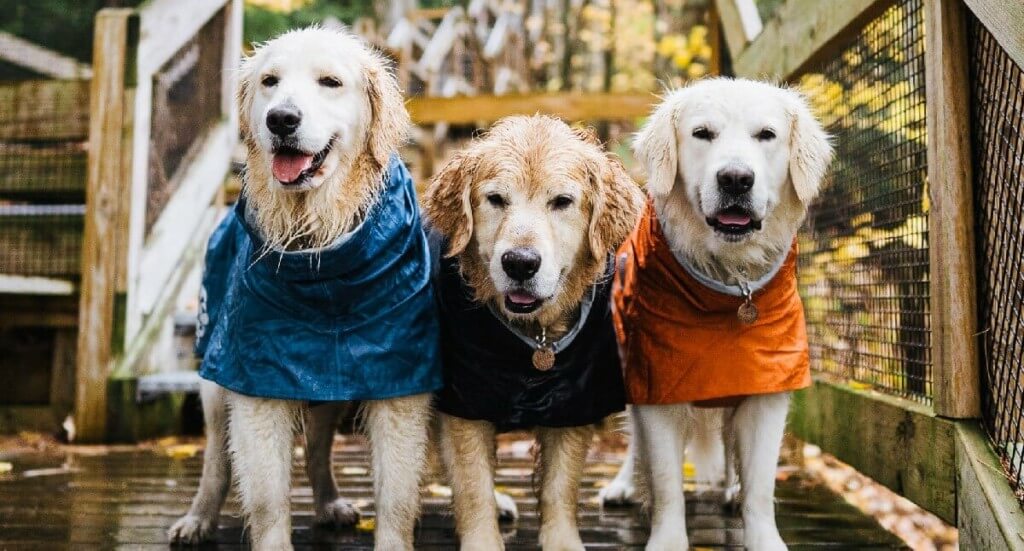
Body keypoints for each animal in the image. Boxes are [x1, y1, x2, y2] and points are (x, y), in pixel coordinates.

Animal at [421, 113, 638, 544]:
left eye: (562, 202)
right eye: (496, 199)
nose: (520, 263)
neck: (533, 339)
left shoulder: (574, 402)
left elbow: (560, 488)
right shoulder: (464, 404)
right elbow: (473, 489)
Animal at [598, 78, 831, 548]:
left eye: (767, 135)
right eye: (702, 133)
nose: (736, 179)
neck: (729, 282)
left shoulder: (765, 389)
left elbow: (759, 487)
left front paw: (761, 533)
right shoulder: (657, 385)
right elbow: (666, 482)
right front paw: (666, 539)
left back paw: (729, 488)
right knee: (636, 446)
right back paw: (623, 485)